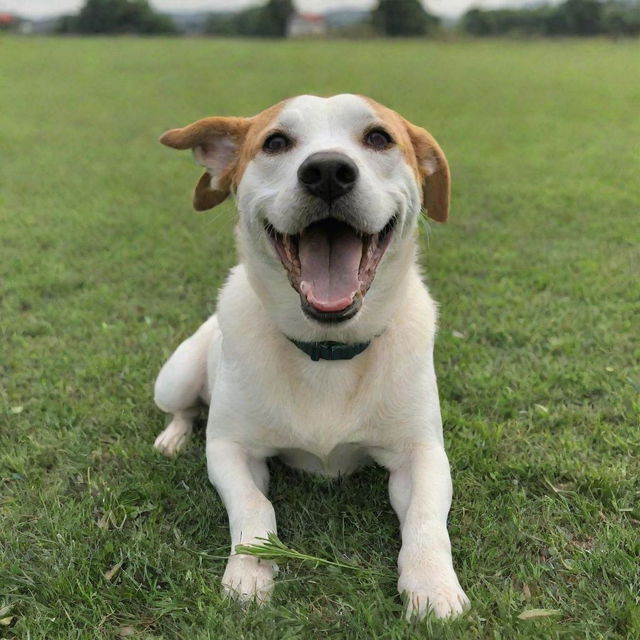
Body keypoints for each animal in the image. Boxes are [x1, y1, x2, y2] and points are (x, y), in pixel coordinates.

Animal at [152, 95, 468, 620]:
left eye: (379, 137)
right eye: (275, 142)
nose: (327, 172)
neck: (328, 351)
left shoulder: (421, 452)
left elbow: (425, 518)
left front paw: (433, 586)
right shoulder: (230, 448)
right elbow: (254, 506)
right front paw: (249, 571)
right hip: (175, 375)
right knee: (184, 408)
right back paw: (172, 438)